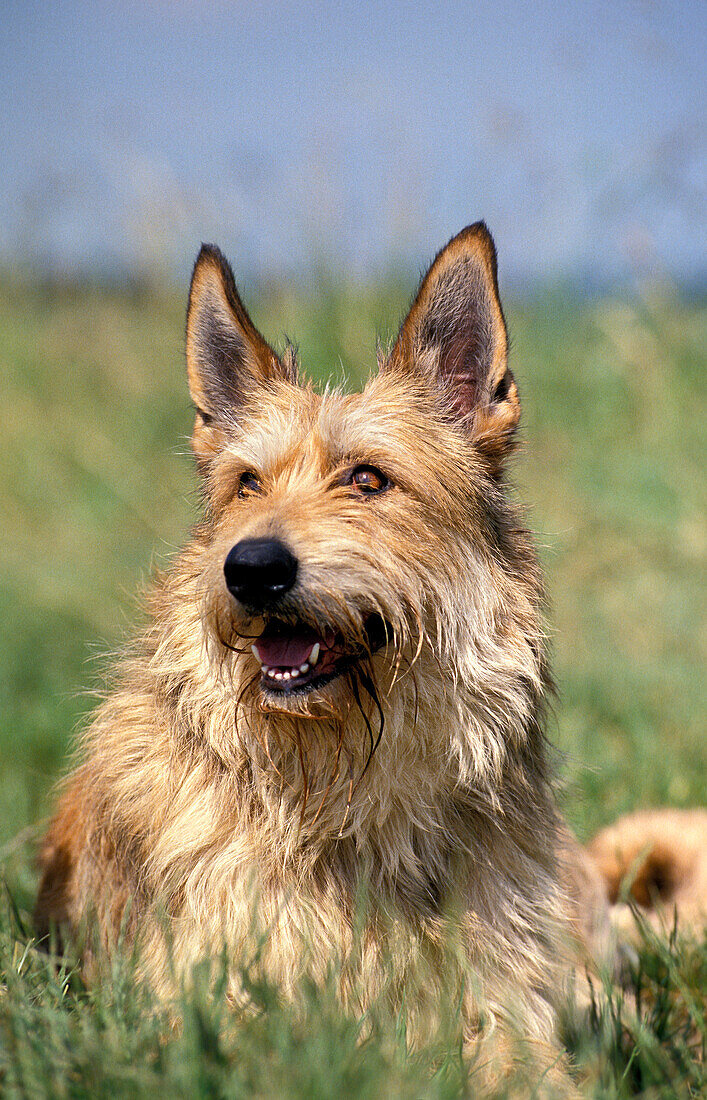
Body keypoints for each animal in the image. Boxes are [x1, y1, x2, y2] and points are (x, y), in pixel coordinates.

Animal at [34, 223, 707, 1091]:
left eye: (367, 479)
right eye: (246, 484)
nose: (250, 568)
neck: (340, 785)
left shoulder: (509, 1009)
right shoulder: (211, 1011)